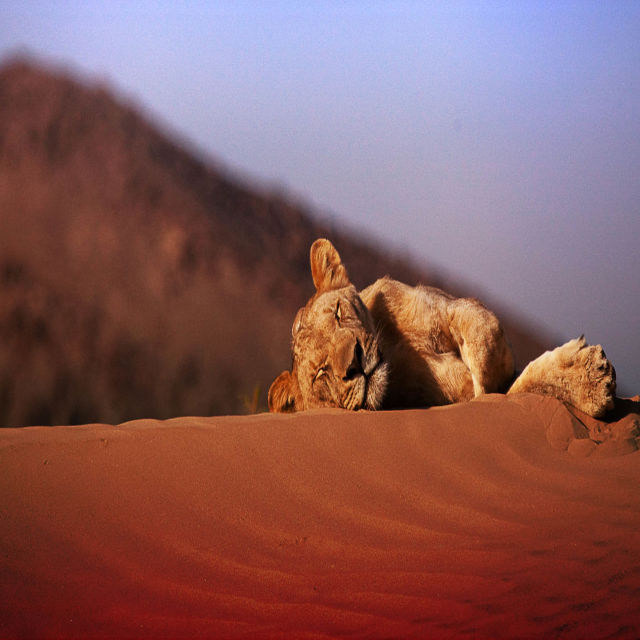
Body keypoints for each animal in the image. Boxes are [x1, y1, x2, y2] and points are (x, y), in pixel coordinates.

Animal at [268, 238, 617, 418]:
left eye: (339, 313)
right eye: (321, 372)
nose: (354, 362)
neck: (393, 350)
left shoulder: (450, 305)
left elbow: (482, 344)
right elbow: (508, 391)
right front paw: (591, 379)